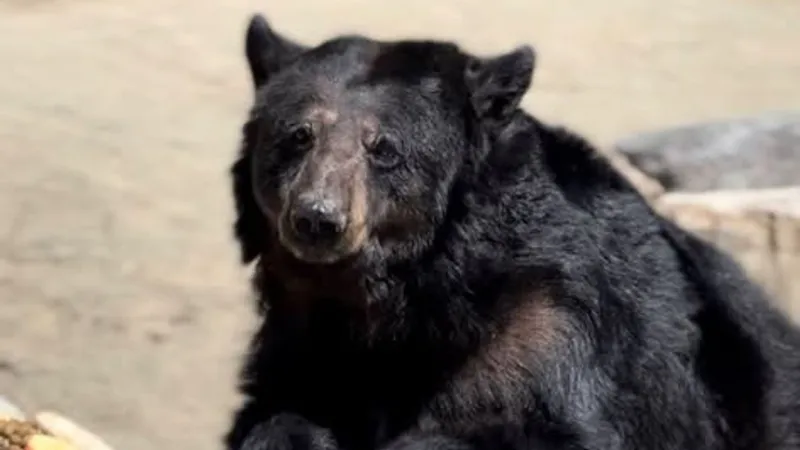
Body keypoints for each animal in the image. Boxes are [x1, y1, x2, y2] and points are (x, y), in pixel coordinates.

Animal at [224, 12, 800, 450]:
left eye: (383, 147)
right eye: (299, 135)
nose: (318, 219)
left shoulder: (548, 314)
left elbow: (534, 421)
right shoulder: (308, 337)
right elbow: (279, 409)